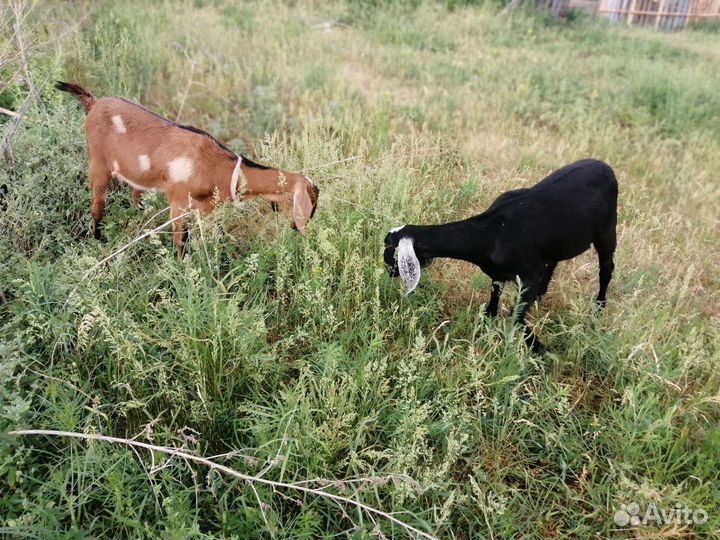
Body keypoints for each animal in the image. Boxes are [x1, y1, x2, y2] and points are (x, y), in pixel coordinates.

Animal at [57, 80, 322, 258]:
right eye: (310, 204)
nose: (300, 230)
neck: (220, 166)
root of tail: (94, 103)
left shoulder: (203, 209)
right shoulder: (178, 201)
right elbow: (181, 242)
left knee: (135, 194)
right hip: (98, 164)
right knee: (97, 206)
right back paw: (97, 239)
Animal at [382, 159, 620, 354]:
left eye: (391, 251)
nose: (389, 271)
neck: (491, 233)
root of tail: (604, 165)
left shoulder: (529, 275)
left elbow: (515, 316)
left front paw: (539, 348)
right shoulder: (498, 275)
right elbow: (493, 305)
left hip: (607, 229)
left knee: (606, 268)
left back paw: (599, 307)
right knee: (553, 262)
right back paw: (541, 298)